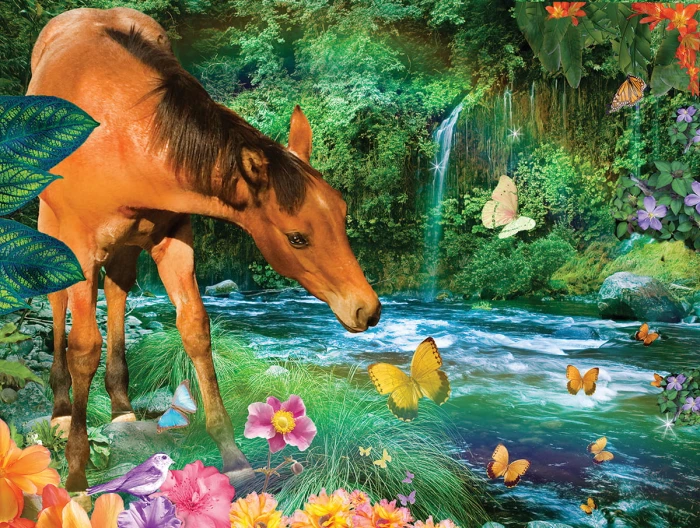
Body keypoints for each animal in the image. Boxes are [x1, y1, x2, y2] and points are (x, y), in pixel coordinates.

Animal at [28, 7, 381, 491]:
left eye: (343, 214)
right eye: (297, 237)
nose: (368, 309)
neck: (127, 136)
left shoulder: (175, 239)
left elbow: (195, 329)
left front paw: (232, 455)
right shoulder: (80, 247)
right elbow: (84, 347)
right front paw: (77, 473)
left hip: (126, 245)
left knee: (117, 290)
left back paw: (121, 405)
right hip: (52, 228)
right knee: (57, 297)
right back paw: (62, 407)